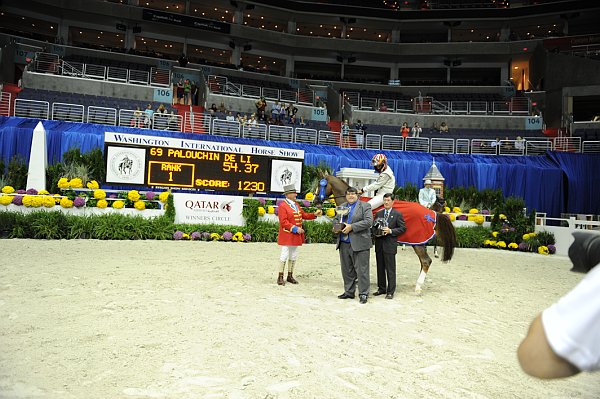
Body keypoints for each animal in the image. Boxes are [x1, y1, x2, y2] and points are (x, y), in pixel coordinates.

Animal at [312, 173, 458, 296]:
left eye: (320, 184)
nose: (315, 201)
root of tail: (431, 213)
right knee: (423, 262)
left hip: (417, 242)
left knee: (426, 261)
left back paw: (417, 287)